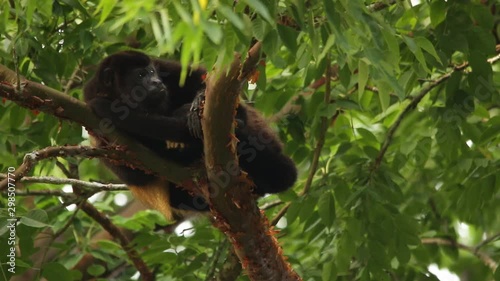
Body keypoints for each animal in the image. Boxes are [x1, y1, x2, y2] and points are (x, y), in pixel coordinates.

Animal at [84, 50, 296, 221]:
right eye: (141, 74)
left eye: (152, 72)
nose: (157, 82)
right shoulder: (94, 116)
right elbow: (134, 171)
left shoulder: (164, 68)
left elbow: (199, 76)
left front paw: (199, 100)